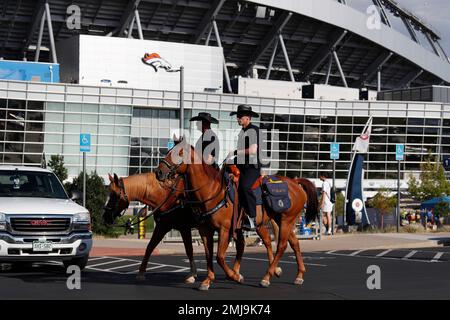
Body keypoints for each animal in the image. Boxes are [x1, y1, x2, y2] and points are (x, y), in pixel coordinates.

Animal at [156, 141, 318, 288]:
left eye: (179, 153)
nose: (159, 172)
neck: (213, 190)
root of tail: (295, 182)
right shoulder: (205, 230)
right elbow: (209, 255)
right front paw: (208, 280)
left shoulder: (224, 229)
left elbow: (220, 256)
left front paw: (234, 276)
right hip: (282, 221)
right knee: (294, 243)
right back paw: (299, 275)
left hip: (286, 221)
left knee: (282, 246)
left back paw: (267, 276)